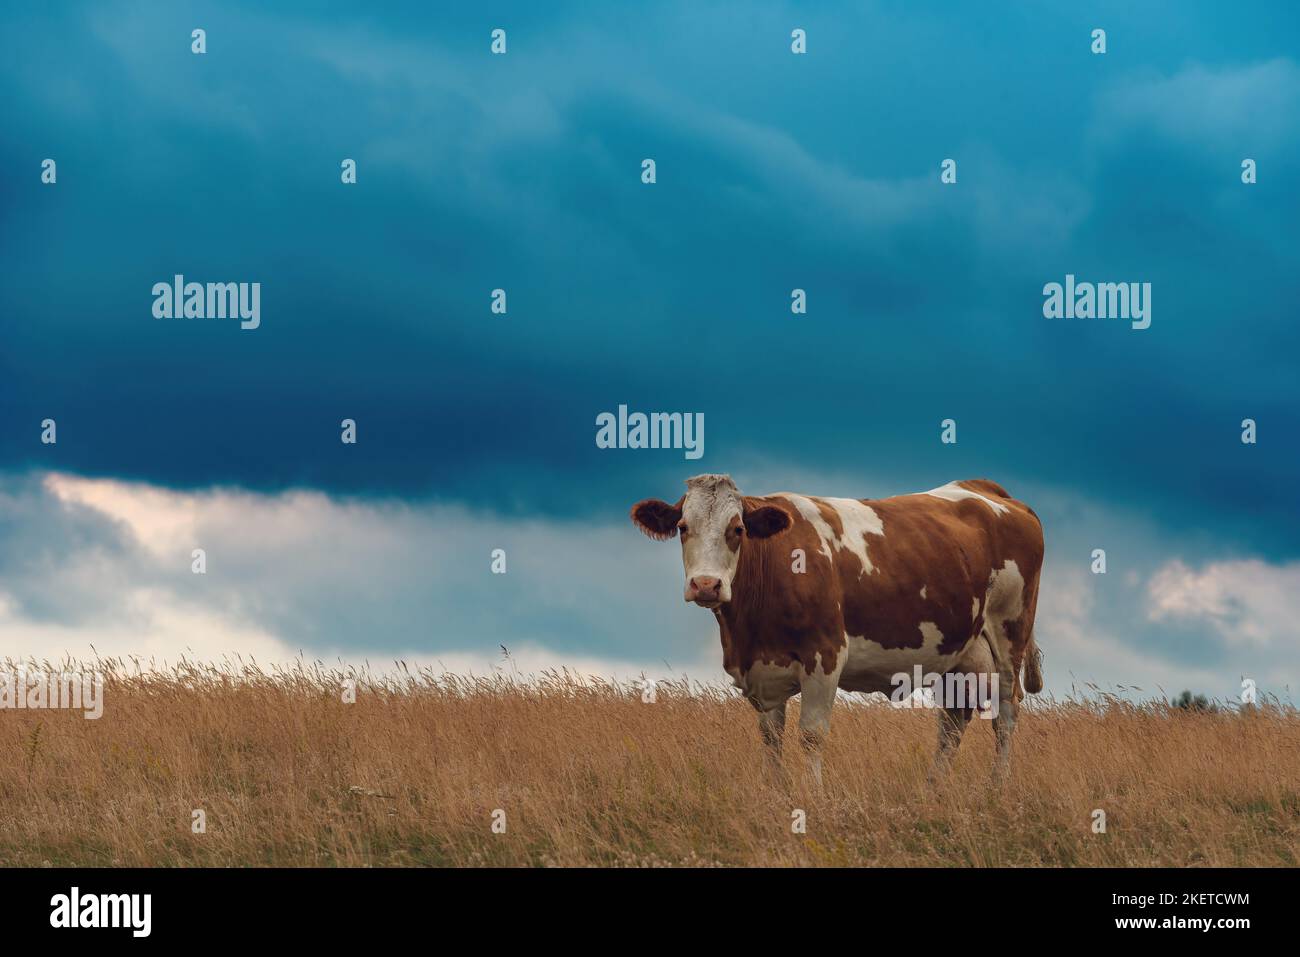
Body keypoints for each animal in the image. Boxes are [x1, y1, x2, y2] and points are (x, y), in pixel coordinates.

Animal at [629, 475, 1045, 785]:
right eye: (683, 527)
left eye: (737, 529)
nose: (706, 585)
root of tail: (985, 489)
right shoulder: (761, 670)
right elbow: (771, 737)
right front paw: (775, 791)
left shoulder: (824, 655)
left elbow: (811, 735)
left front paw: (813, 796)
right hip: (959, 651)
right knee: (952, 722)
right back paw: (934, 787)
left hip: (1009, 634)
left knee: (1006, 714)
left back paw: (997, 787)